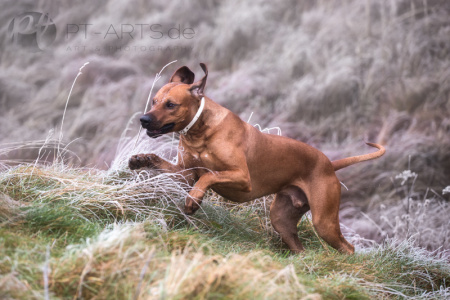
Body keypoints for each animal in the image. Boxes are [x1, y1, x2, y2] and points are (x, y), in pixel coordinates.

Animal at [128, 64, 384, 254]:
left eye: (171, 104)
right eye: (154, 101)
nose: (144, 120)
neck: (200, 132)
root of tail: (329, 164)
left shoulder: (242, 178)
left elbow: (209, 176)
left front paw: (194, 200)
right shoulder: (185, 173)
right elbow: (174, 167)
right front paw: (142, 159)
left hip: (324, 221)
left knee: (348, 248)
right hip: (281, 218)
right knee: (298, 246)